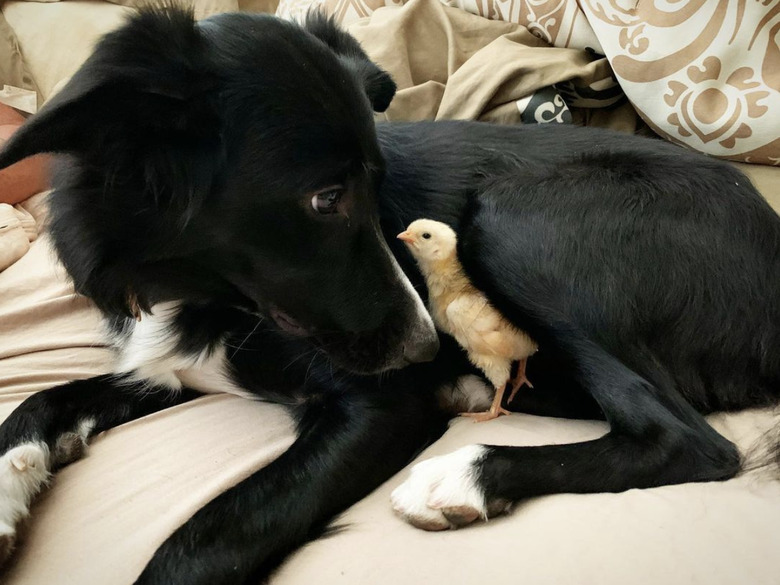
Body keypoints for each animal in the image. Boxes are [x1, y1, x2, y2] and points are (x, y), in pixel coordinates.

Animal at [1, 8, 780, 584]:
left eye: (373, 189)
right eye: (326, 198)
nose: (425, 348)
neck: (195, 291)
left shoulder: (379, 405)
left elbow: (210, 536)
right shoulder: (169, 370)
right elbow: (36, 402)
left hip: (513, 221)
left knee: (688, 441)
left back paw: (464, 475)